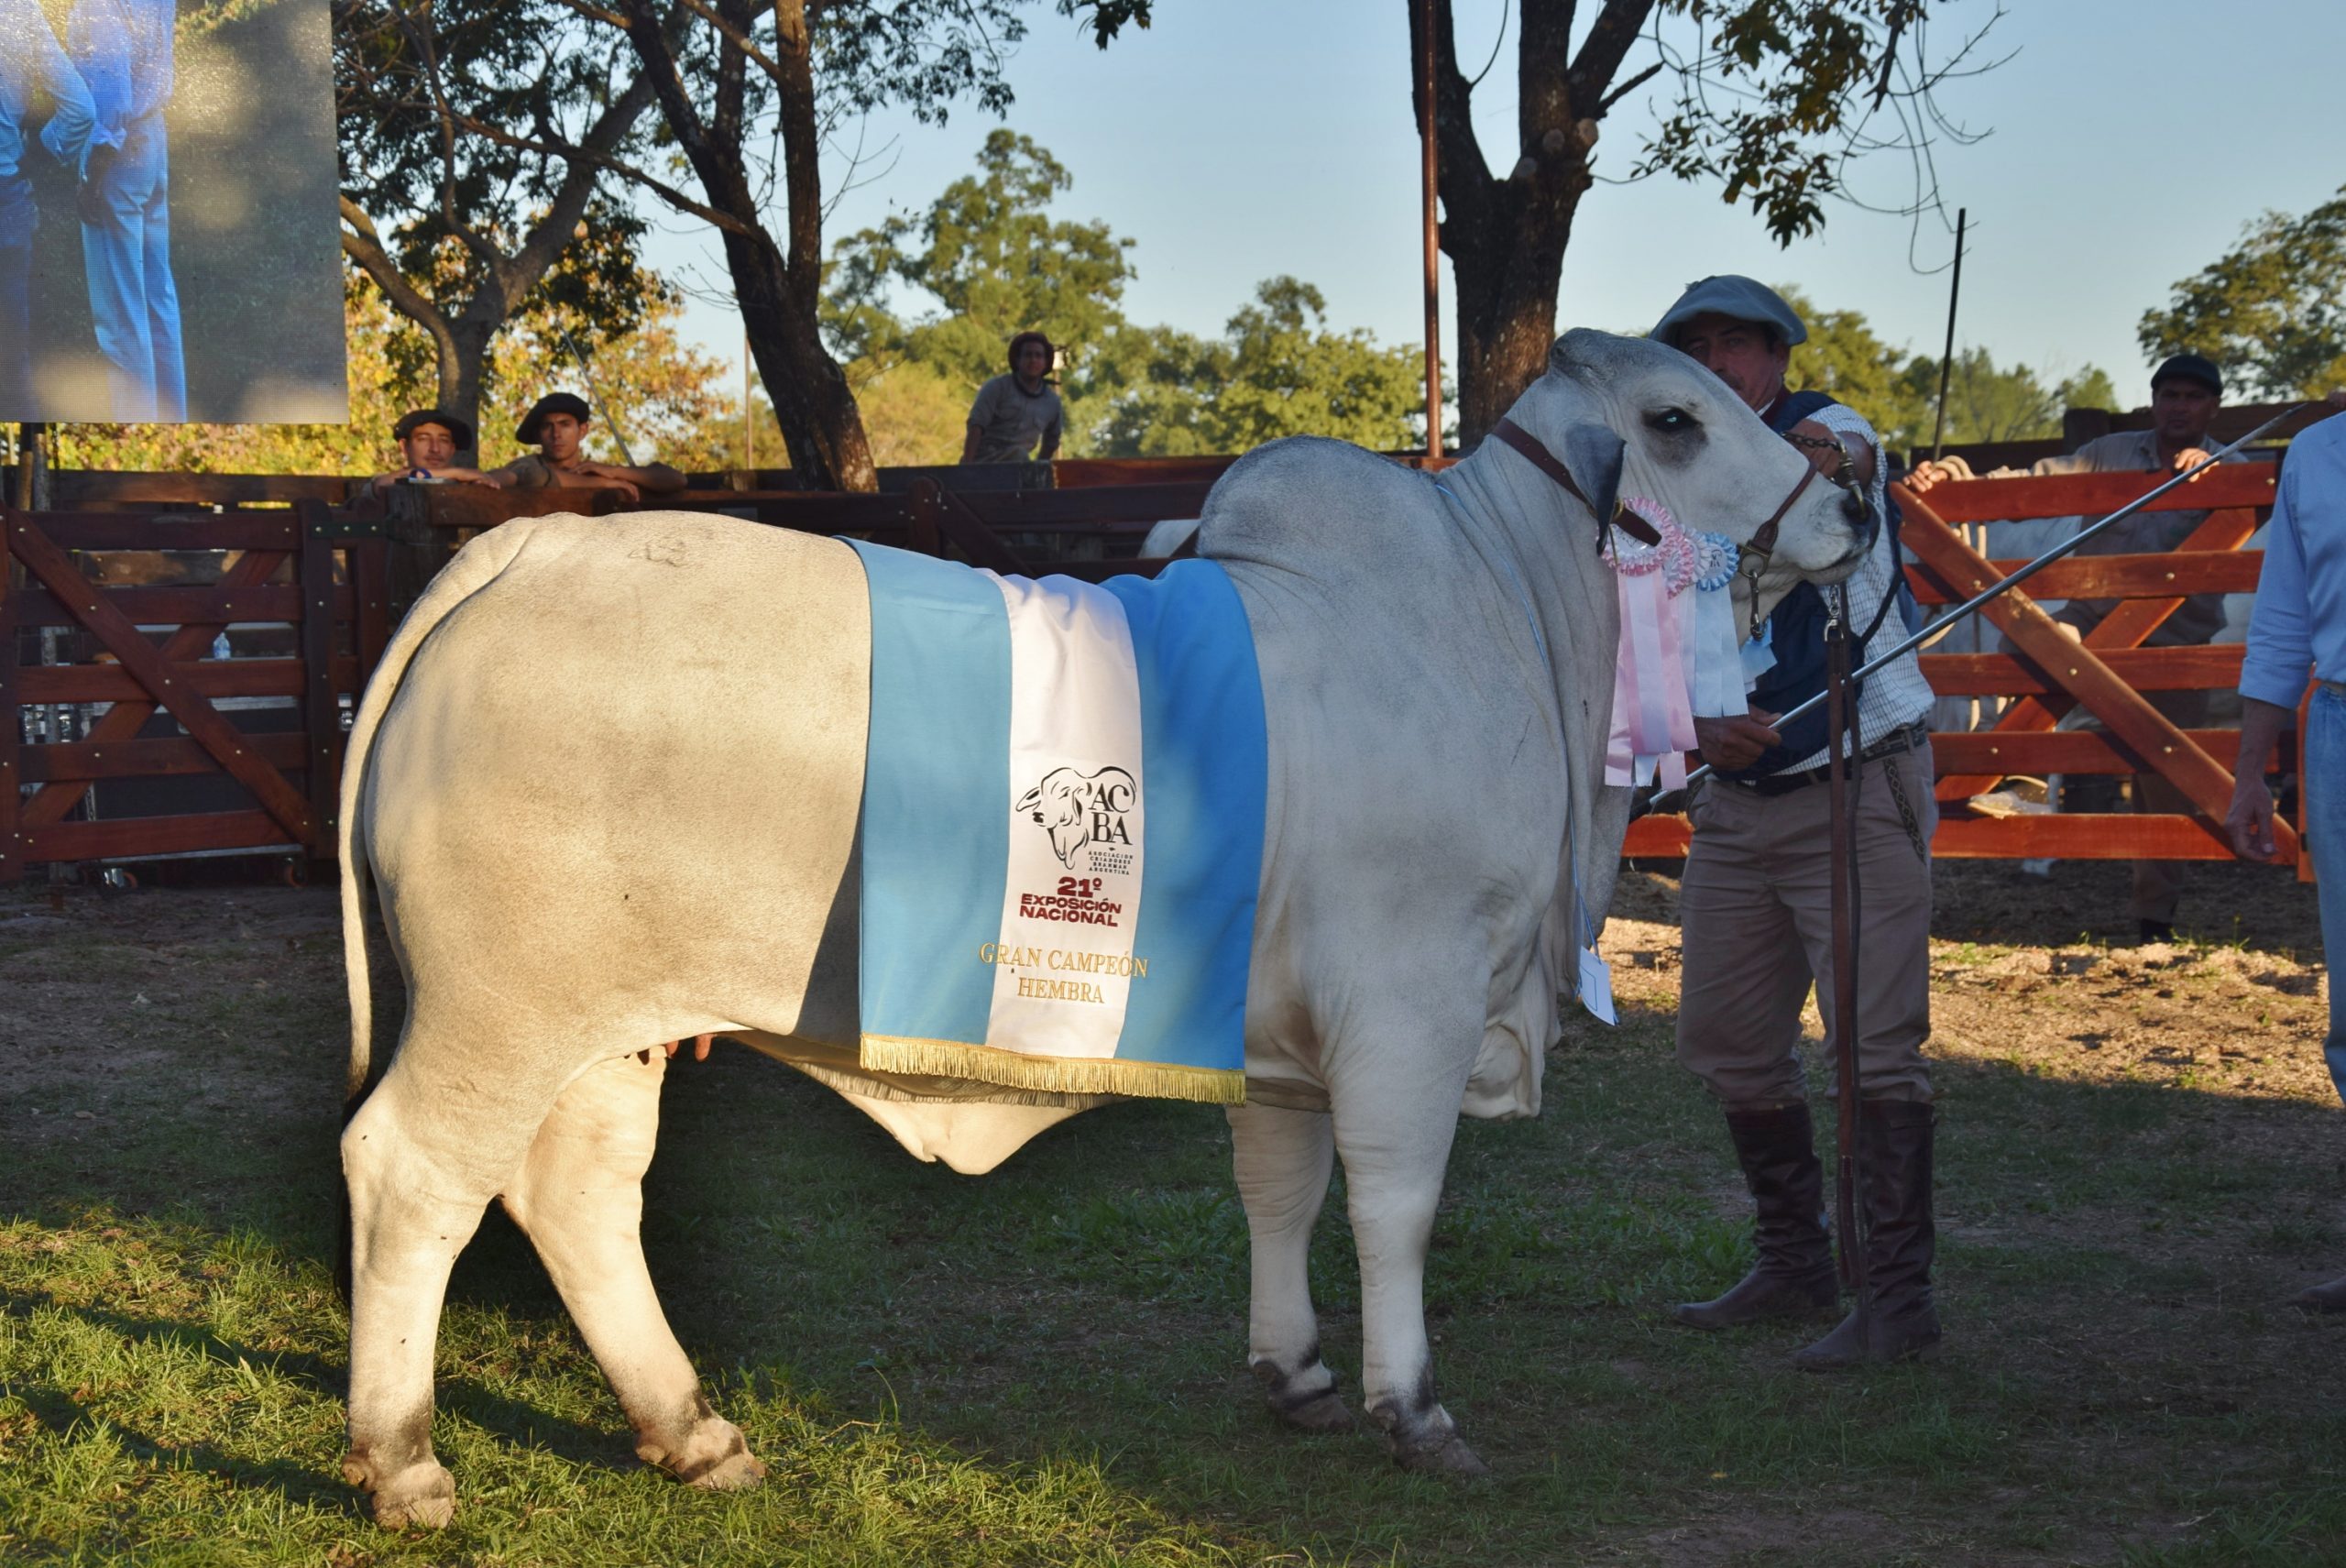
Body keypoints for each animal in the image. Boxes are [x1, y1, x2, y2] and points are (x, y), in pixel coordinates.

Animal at [335, 328, 1867, 1520]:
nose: (1851, 497)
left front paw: (1298, 1370)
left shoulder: (1284, 1035)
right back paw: (404, 1459)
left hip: (611, 1023)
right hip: (499, 1006)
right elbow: (1395, 1202)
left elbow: (1279, 1186)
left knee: (578, 1189)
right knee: (414, 1172)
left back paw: (692, 1428)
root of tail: (526, 547)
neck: (1508, 618)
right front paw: (1414, 1406)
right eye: (1675, 418)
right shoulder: (1411, 1004)